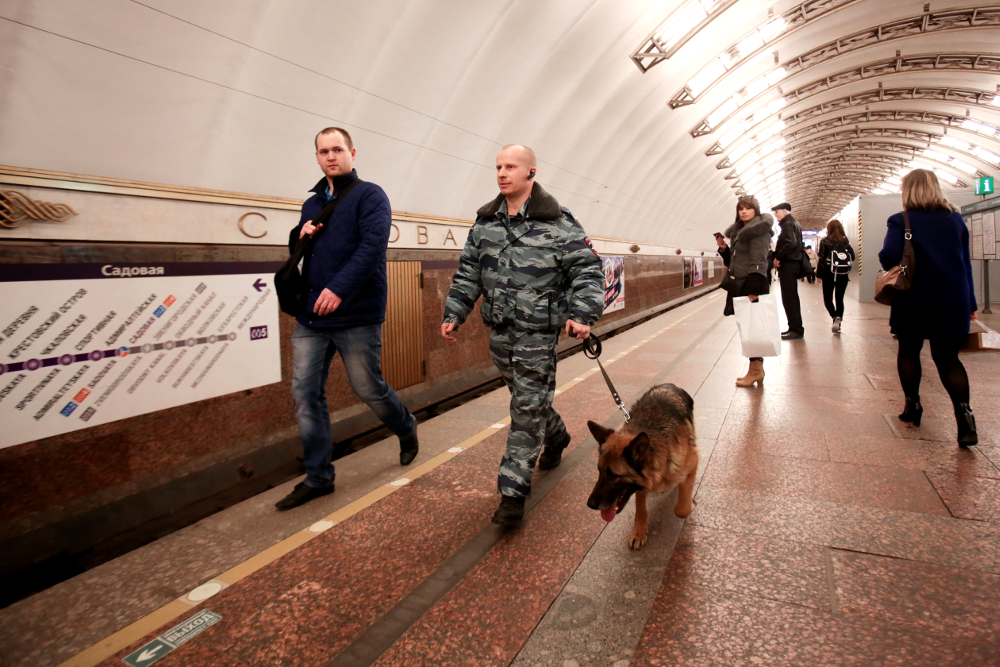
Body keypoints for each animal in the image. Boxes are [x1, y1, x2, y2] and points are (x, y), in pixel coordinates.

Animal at [584, 384, 696, 552]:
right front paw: (639, 532)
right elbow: (640, 507)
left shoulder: (693, 461)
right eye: (599, 471)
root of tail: (668, 385)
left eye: (614, 475)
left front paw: (689, 503)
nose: (590, 505)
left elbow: (681, 510)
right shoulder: (640, 487)